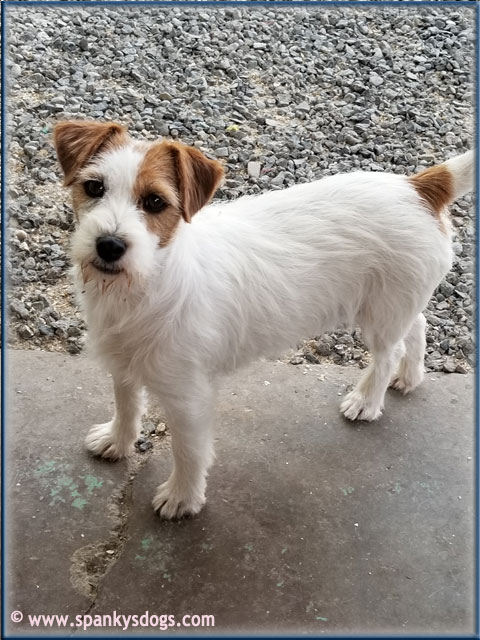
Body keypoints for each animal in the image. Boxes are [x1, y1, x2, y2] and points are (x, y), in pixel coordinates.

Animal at [52, 121, 472, 520]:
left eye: (155, 202)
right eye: (94, 187)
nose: (109, 245)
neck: (143, 283)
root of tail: (417, 187)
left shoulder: (189, 398)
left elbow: (189, 451)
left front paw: (182, 497)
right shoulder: (122, 364)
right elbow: (126, 406)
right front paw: (117, 441)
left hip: (380, 315)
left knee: (389, 351)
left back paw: (367, 400)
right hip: (394, 305)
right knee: (417, 327)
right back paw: (410, 376)